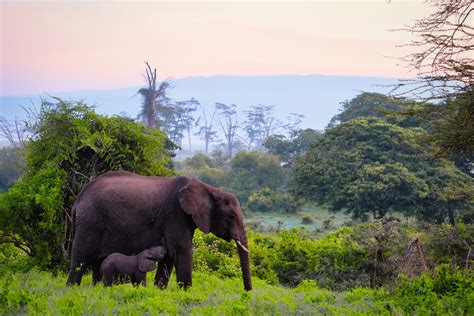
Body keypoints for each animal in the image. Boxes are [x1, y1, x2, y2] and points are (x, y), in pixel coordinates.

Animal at [66, 172, 254, 290]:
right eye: (231, 217)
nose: (247, 292)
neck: (210, 189)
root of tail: (77, 202)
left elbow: (169, 256)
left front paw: (158, 291)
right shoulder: (176, 215)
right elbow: (181, 253)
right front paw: (185, 293)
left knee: (96, 263)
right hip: (89, 222)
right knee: (81, 260)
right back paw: (71, 290)